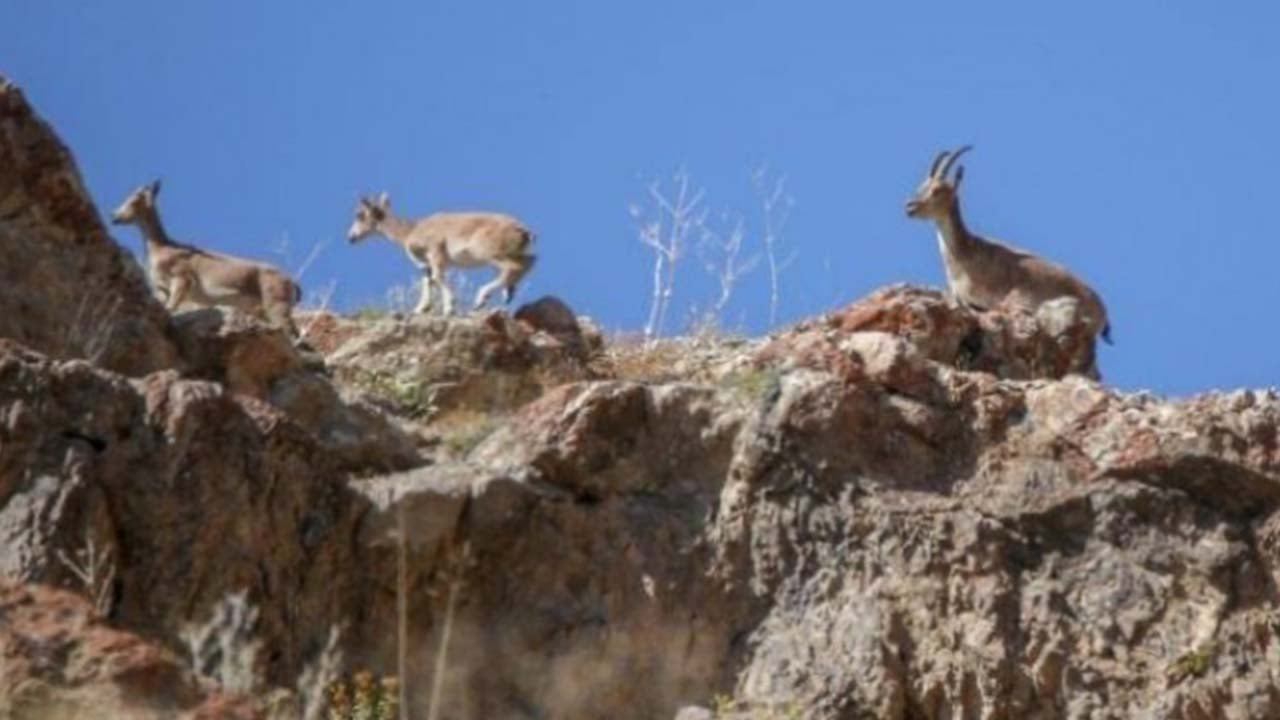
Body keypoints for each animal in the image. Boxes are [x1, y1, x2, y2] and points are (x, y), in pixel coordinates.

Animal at [109, 179, 299, 335]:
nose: (114, 217)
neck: (162, 247)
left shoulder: (182, 279)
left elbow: (172, 307)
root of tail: (291, 282)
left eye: (135, 199)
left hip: (276, 304)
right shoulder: (163, 288)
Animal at [345, 190, 535, 313]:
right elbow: (427, 280)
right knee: (528, 262)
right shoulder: (427, 264)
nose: (351, 237)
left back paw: (481, 298)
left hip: (489, 253)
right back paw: (507, 294)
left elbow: (436, 277)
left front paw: (449, 307)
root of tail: (523, 231)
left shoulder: (435, 253)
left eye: (360, 215)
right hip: (511, 253)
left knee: (513, 267)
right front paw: (421, 308)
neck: (410, 231)